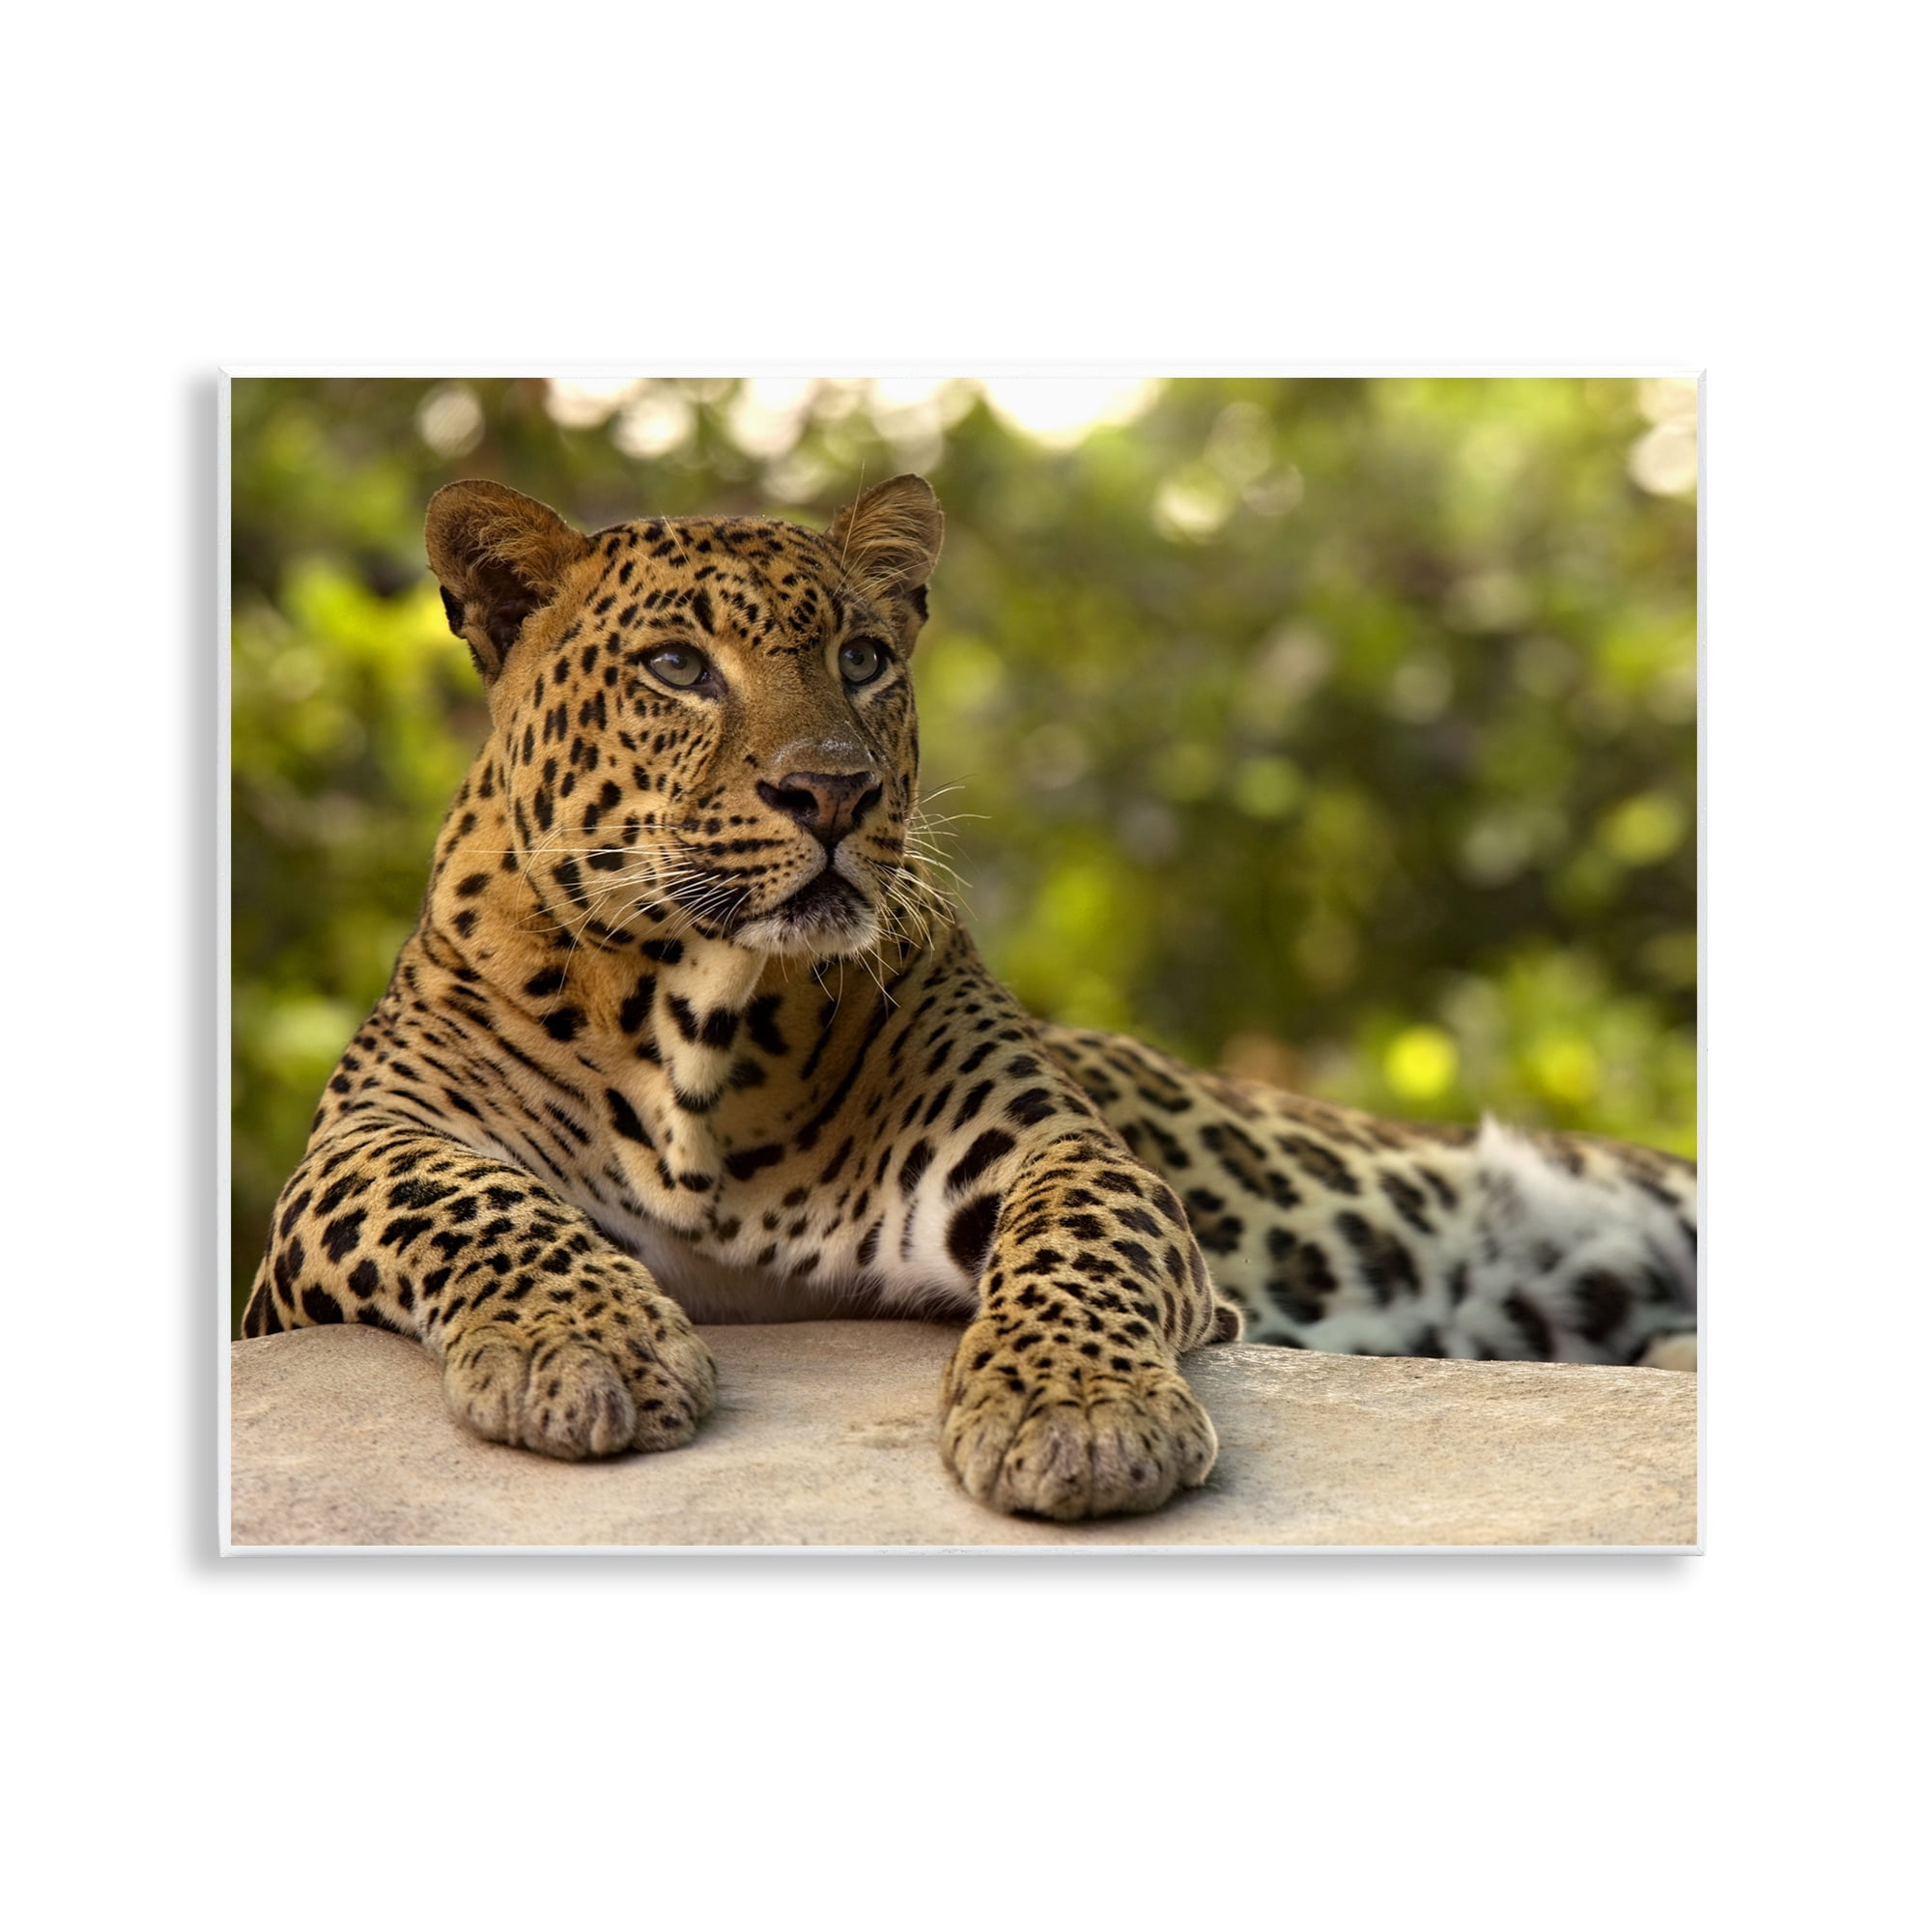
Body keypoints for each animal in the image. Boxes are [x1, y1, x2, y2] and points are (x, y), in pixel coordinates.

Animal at [240, 473, 1698, 1522]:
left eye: (864, 657)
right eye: (676, 667)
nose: (832, 792)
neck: (699, 1018)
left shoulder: (1043, 1145)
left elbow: (1076, 1239)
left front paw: (1076, 1414)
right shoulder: (346, 1163)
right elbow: (465, 1195)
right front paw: (583, 1346)